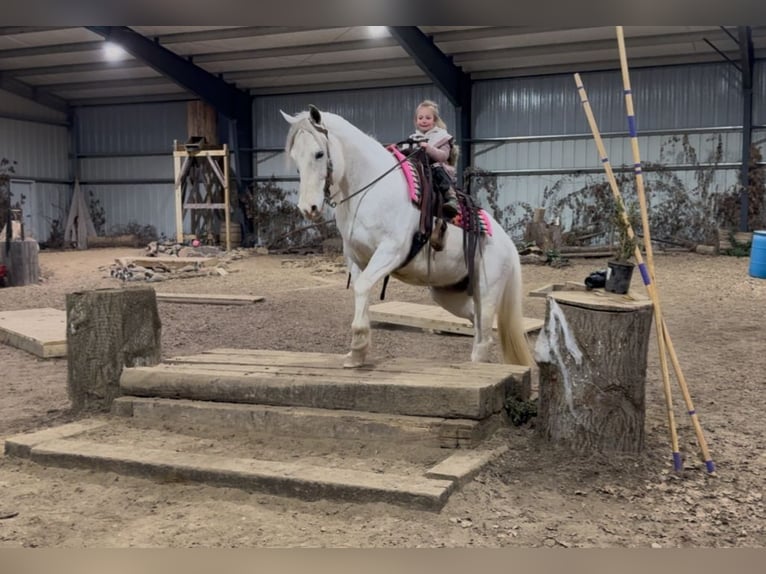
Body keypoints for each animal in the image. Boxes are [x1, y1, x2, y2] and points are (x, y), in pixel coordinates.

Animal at [282, 106, 536, 372]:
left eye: (319, 154)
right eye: (295, 157)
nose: (308, 208)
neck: (370, 188)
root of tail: (509, 245)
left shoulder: (390, 252)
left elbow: (362, 287)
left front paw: (358, 347)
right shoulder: (356, 258)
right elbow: (360, 290)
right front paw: (357, 354)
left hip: (487, 292)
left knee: (484, 337)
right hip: (448, 294)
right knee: (475, 325)